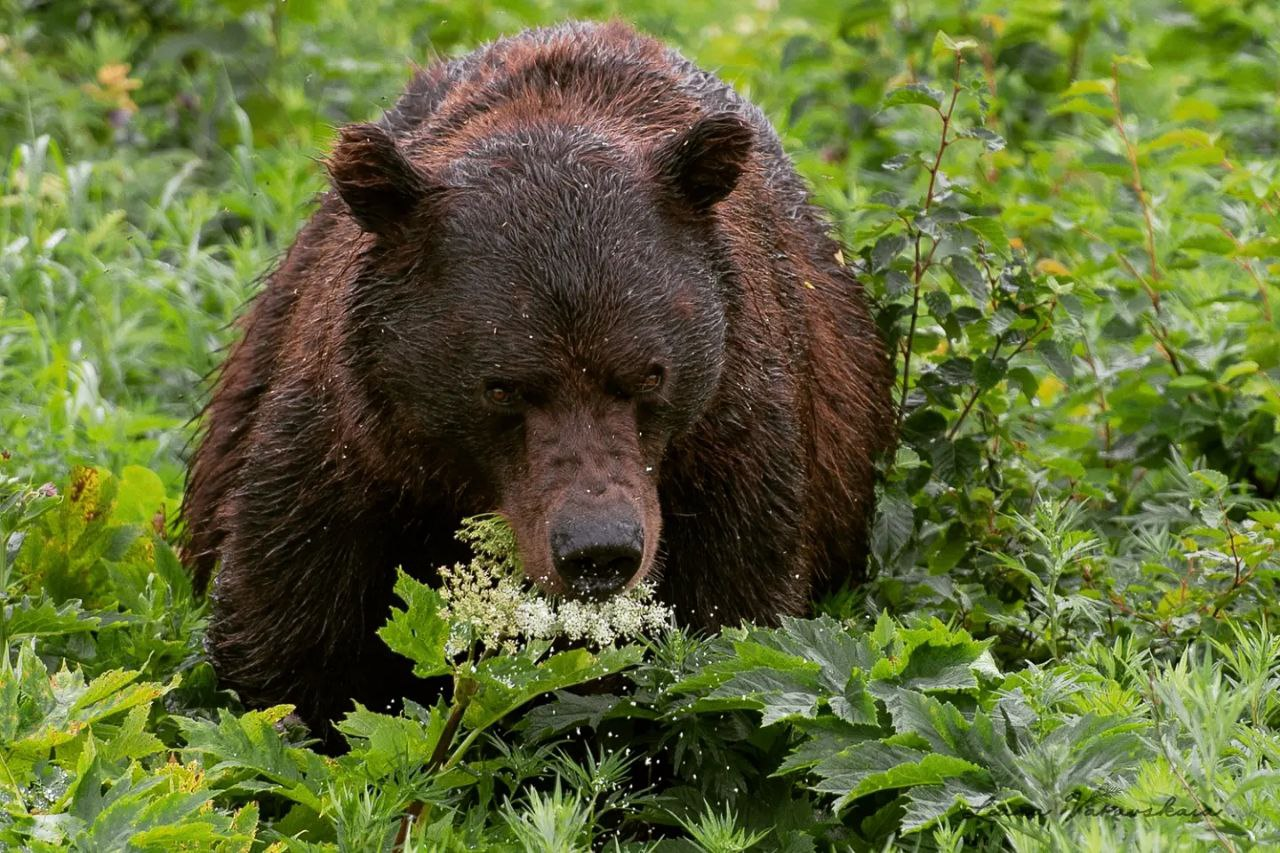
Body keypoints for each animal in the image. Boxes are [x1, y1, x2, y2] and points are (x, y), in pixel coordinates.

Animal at [183, 21, 890, 737]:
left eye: (650, 375)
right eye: (500, 387)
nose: (598, 548)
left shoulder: (734, 443)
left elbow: (732, 633)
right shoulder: (348, 449)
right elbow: (287, 632)